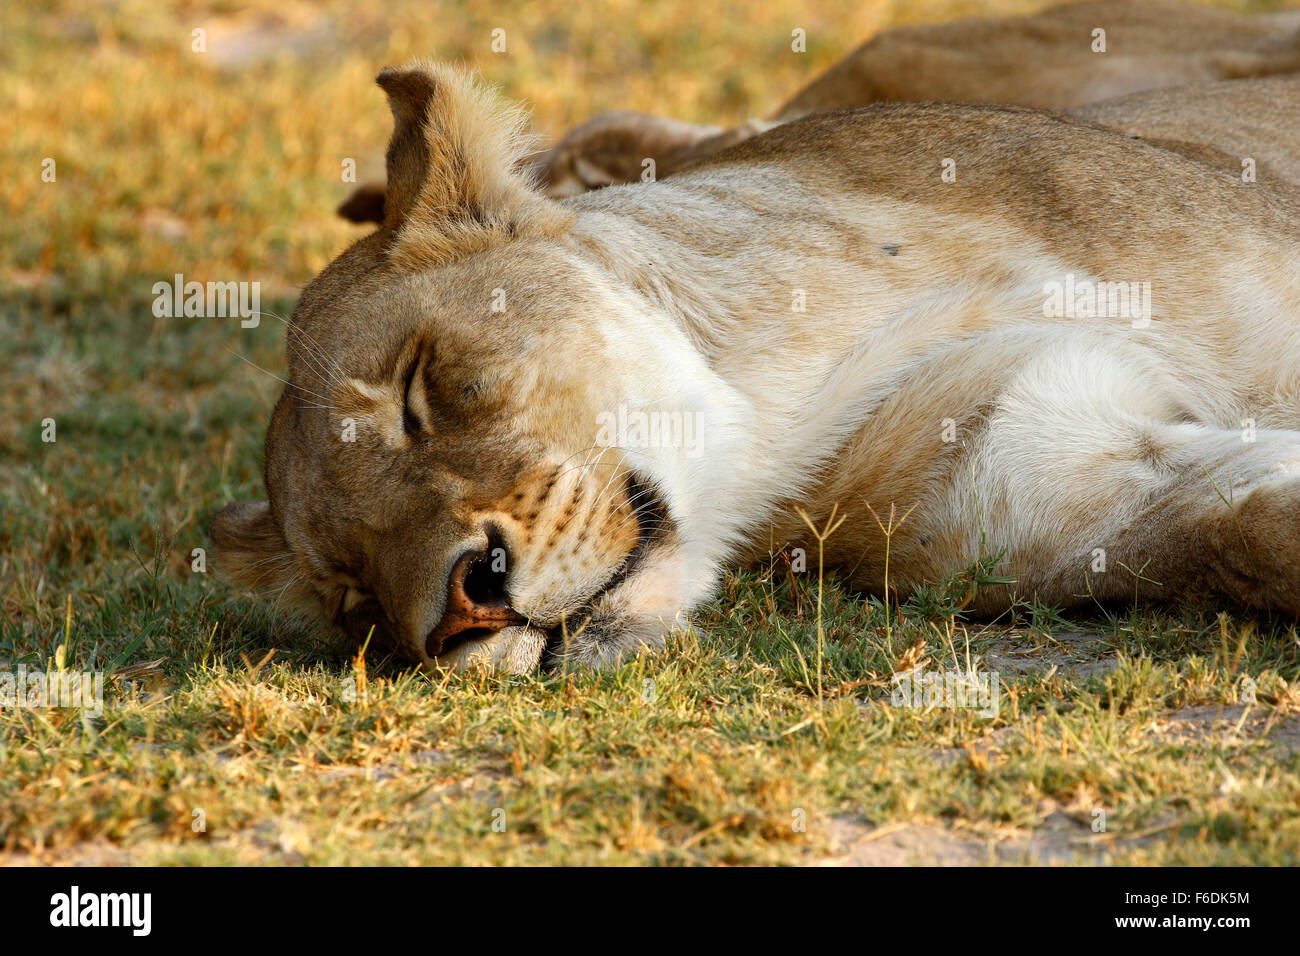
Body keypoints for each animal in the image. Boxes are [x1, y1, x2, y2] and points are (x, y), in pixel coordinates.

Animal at [213, 61, 1300, 671]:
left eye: (419, 389)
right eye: (352, 595)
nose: (456, 617)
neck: (783, 389)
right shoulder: (1097, 489)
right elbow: (1253, 538)